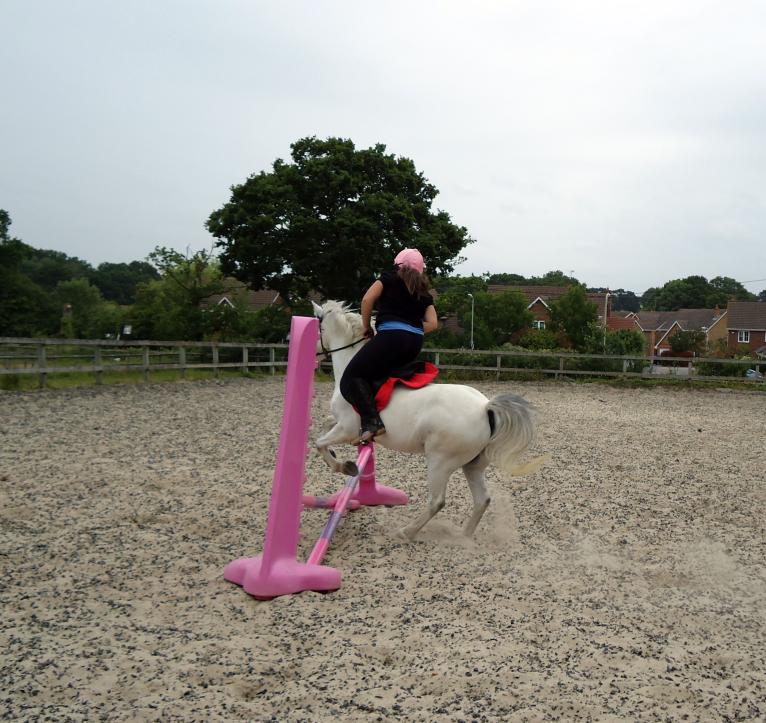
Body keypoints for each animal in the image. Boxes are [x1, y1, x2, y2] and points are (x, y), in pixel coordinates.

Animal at [312, 300, 540, 544]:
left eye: (317, 326)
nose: (315, 355)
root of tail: (484, 408)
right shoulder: (342, 424)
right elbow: (325, 426)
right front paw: (338, 455)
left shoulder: (347, 428)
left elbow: (319, 443)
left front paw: (345, 466)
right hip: (473, 465)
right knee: (482, 499)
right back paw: (463, 538)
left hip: (440, 462)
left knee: (437, 501)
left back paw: (407, 532)